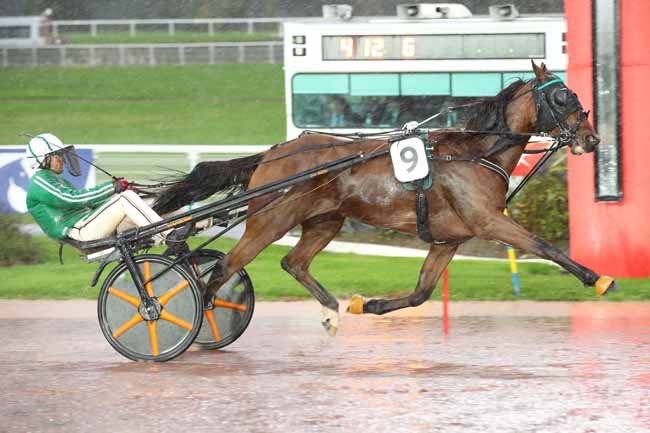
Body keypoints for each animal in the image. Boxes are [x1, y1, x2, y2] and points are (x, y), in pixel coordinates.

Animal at [153, 60, 612, 334]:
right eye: (562, 97)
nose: (591, 139)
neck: (475, 153)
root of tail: (272, 152)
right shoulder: (488, 220)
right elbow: (543, 245)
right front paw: (598, 278)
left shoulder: (449, 239)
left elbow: (422, 292)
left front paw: (368, 305)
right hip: (271, 219)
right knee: (225, 266)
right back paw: (199, 321)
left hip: (325, 219)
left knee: (292, 262)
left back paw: (331, 309)